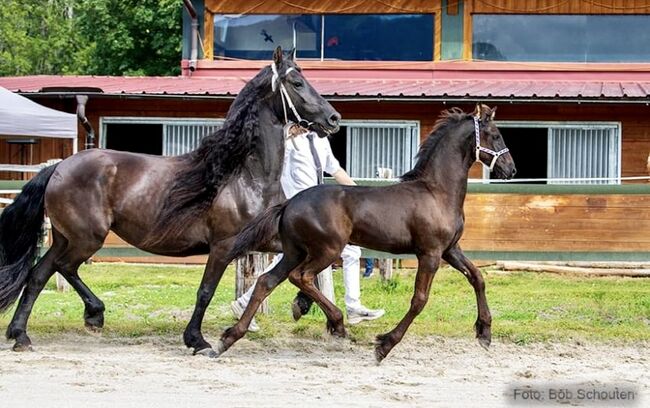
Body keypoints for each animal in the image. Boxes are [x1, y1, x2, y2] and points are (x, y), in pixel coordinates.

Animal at [0, 47, 340, 354]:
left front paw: (306, 308)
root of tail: (58, 167)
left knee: (38, 275)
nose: (334, 118)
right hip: (86, 239)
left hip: (65, 237)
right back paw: (93, 314)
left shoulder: (268, 239)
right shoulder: (224, 246)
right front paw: (197, 340)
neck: (245, 175)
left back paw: (21, 335)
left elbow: (301, 272)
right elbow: (205, 291)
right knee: (63, 268)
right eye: (297, 82)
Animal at [215, 103, 512, 362]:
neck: (436, 192)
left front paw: (484, 332)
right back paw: (336, 323)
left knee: (266, 281)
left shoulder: (450, 250)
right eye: (496, 135)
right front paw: (385, 345)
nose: (511, 169)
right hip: (325, 250)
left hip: (294, 252)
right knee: (301, 277)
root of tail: (290, 202)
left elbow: (478, 278)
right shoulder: (430, 253)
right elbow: (419, 300)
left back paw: (228, 339)